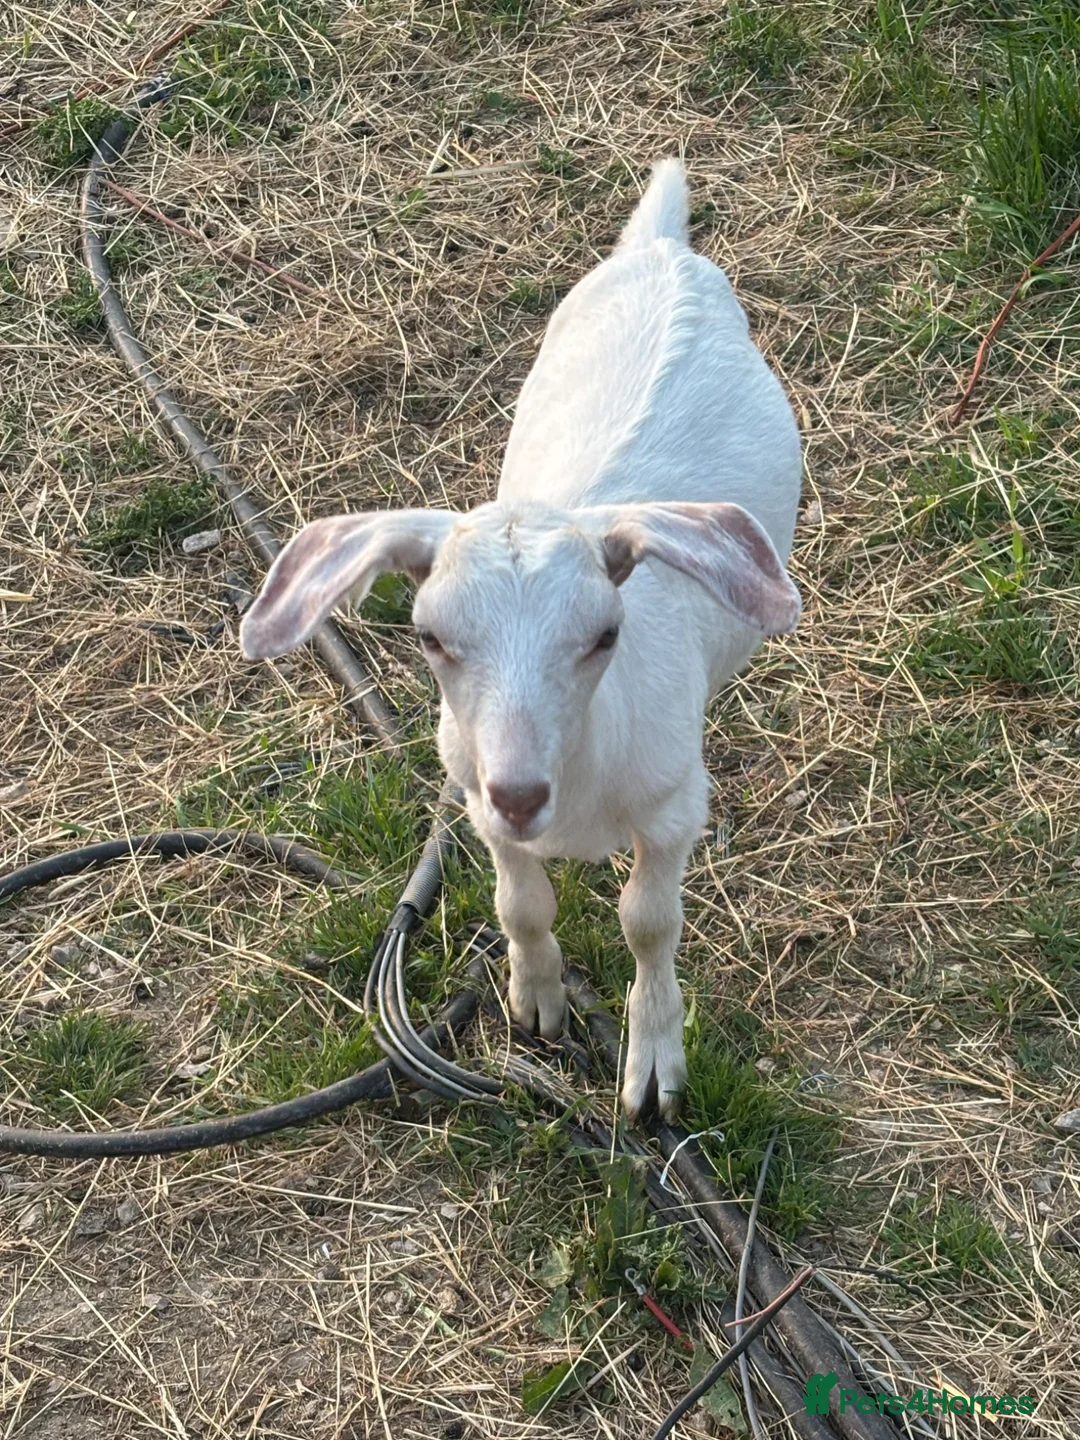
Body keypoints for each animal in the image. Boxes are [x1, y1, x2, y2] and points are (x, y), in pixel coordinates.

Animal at [239, 158, 803, 1119]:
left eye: (606, 633)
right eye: (428, 636)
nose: (521, 792)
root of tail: (661, 247)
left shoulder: (676, 805)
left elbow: (649, 923)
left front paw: (653, 1068)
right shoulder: (470, 790)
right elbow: (521, 904)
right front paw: (535, 1001)